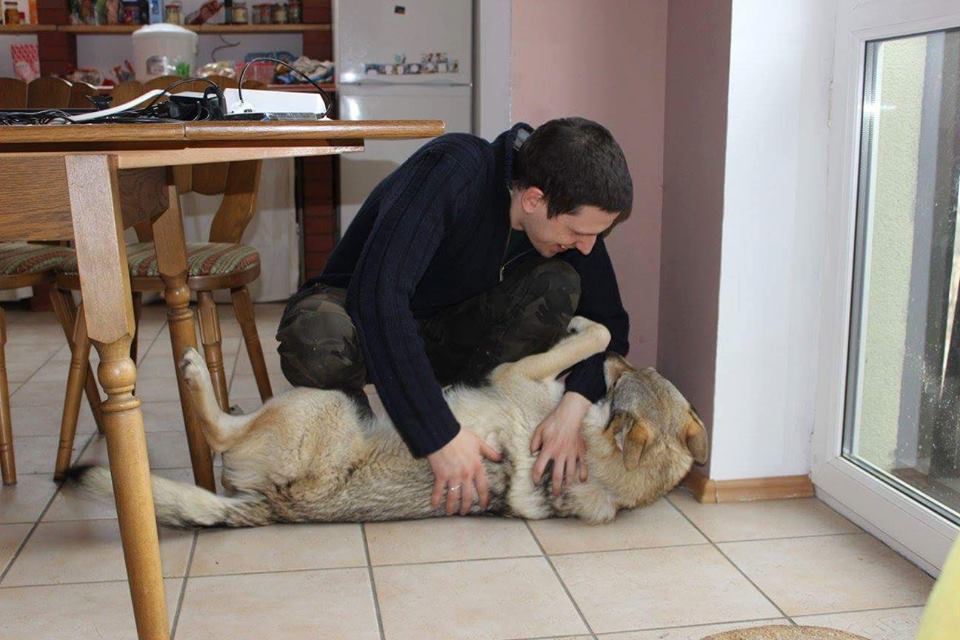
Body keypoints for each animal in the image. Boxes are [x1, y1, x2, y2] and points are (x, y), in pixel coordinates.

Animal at [69, 316, 708, 527]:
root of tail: (278, 507)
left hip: (325, 402)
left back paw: (197, 369)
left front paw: (586, 328)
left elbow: (590, 335)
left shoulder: (512, 372)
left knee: (218, 428)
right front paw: (590, 331)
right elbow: (592, 336)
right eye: (642, 368)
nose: (624, 357)